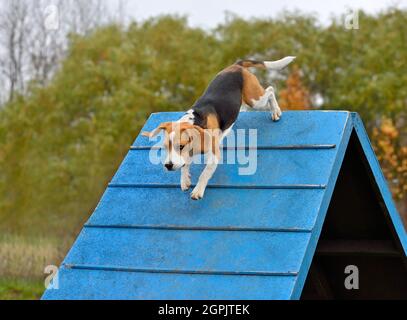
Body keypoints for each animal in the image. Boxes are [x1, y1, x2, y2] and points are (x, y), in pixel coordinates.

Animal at [143, 56, 296, 199]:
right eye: (164, 147)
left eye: (180, 146)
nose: (168, 166)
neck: (196, 121)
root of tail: (236, 66)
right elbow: (184, 165)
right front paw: (184, 180)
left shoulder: (214, 155)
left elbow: (204, 173)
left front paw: (198, 191)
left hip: (254, 99)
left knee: (270, 90)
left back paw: (275, 111)